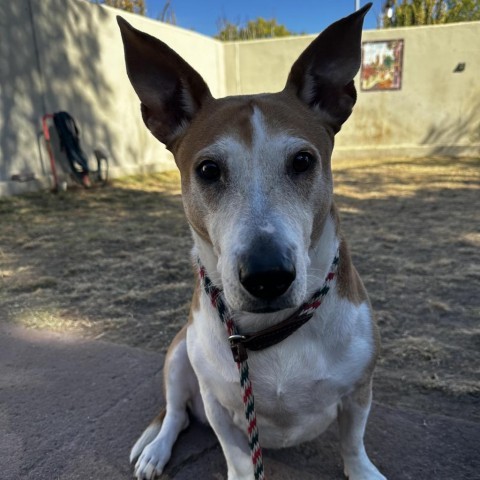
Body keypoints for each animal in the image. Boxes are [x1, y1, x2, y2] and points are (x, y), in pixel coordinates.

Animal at [117, 4, 386, 480]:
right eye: (208, 170)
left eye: (303, 161)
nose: (267, 276)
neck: (270, 331)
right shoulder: (219, 408)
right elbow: (238, 456)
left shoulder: (359, 390)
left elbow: (353, 442)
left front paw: (362, 470)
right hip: (179, 354)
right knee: (175, 414)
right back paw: (156, 450)